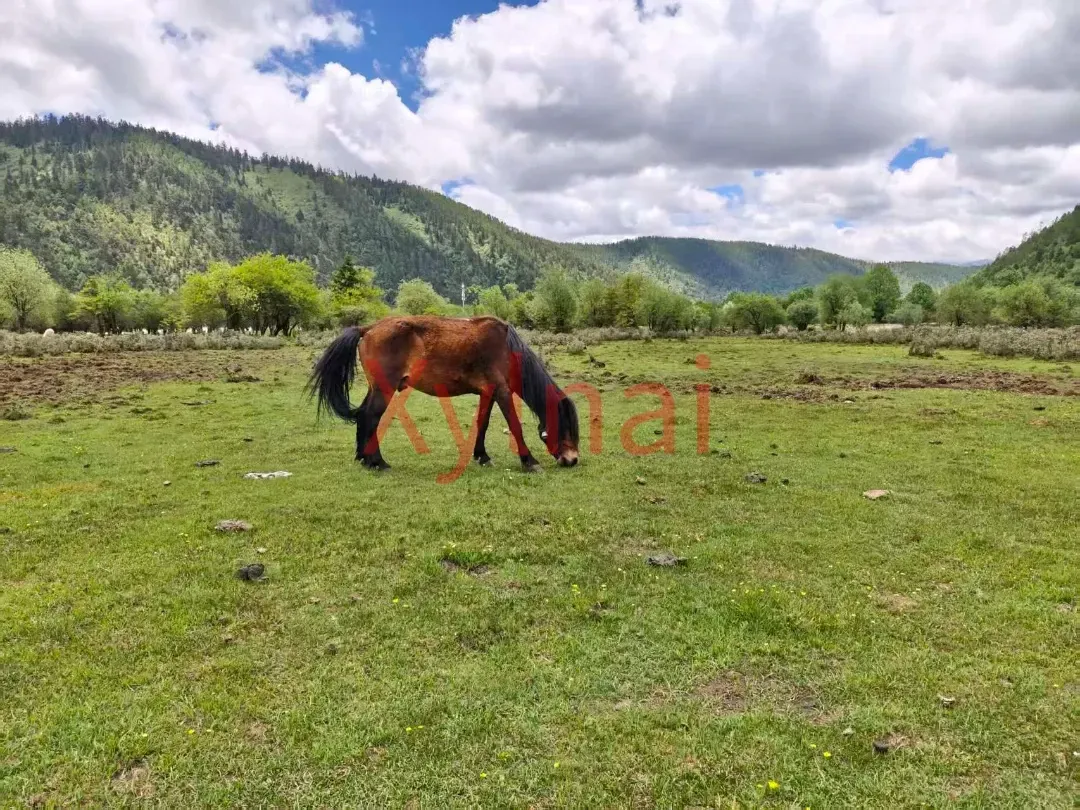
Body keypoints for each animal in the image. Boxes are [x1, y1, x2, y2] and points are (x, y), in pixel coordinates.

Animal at [307, 315, 580, 472]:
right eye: (564, 426)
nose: (572, 459)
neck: (505, 348)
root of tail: (368, 328)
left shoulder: (488, 392)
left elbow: (482, 423)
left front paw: (482, 456)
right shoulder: (502, 391)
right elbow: (514, 424)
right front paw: (529, 461)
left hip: (376, 388)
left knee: (364, 415)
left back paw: (363, 457)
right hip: (385, 389)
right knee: (370, 417)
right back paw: (377, 462)